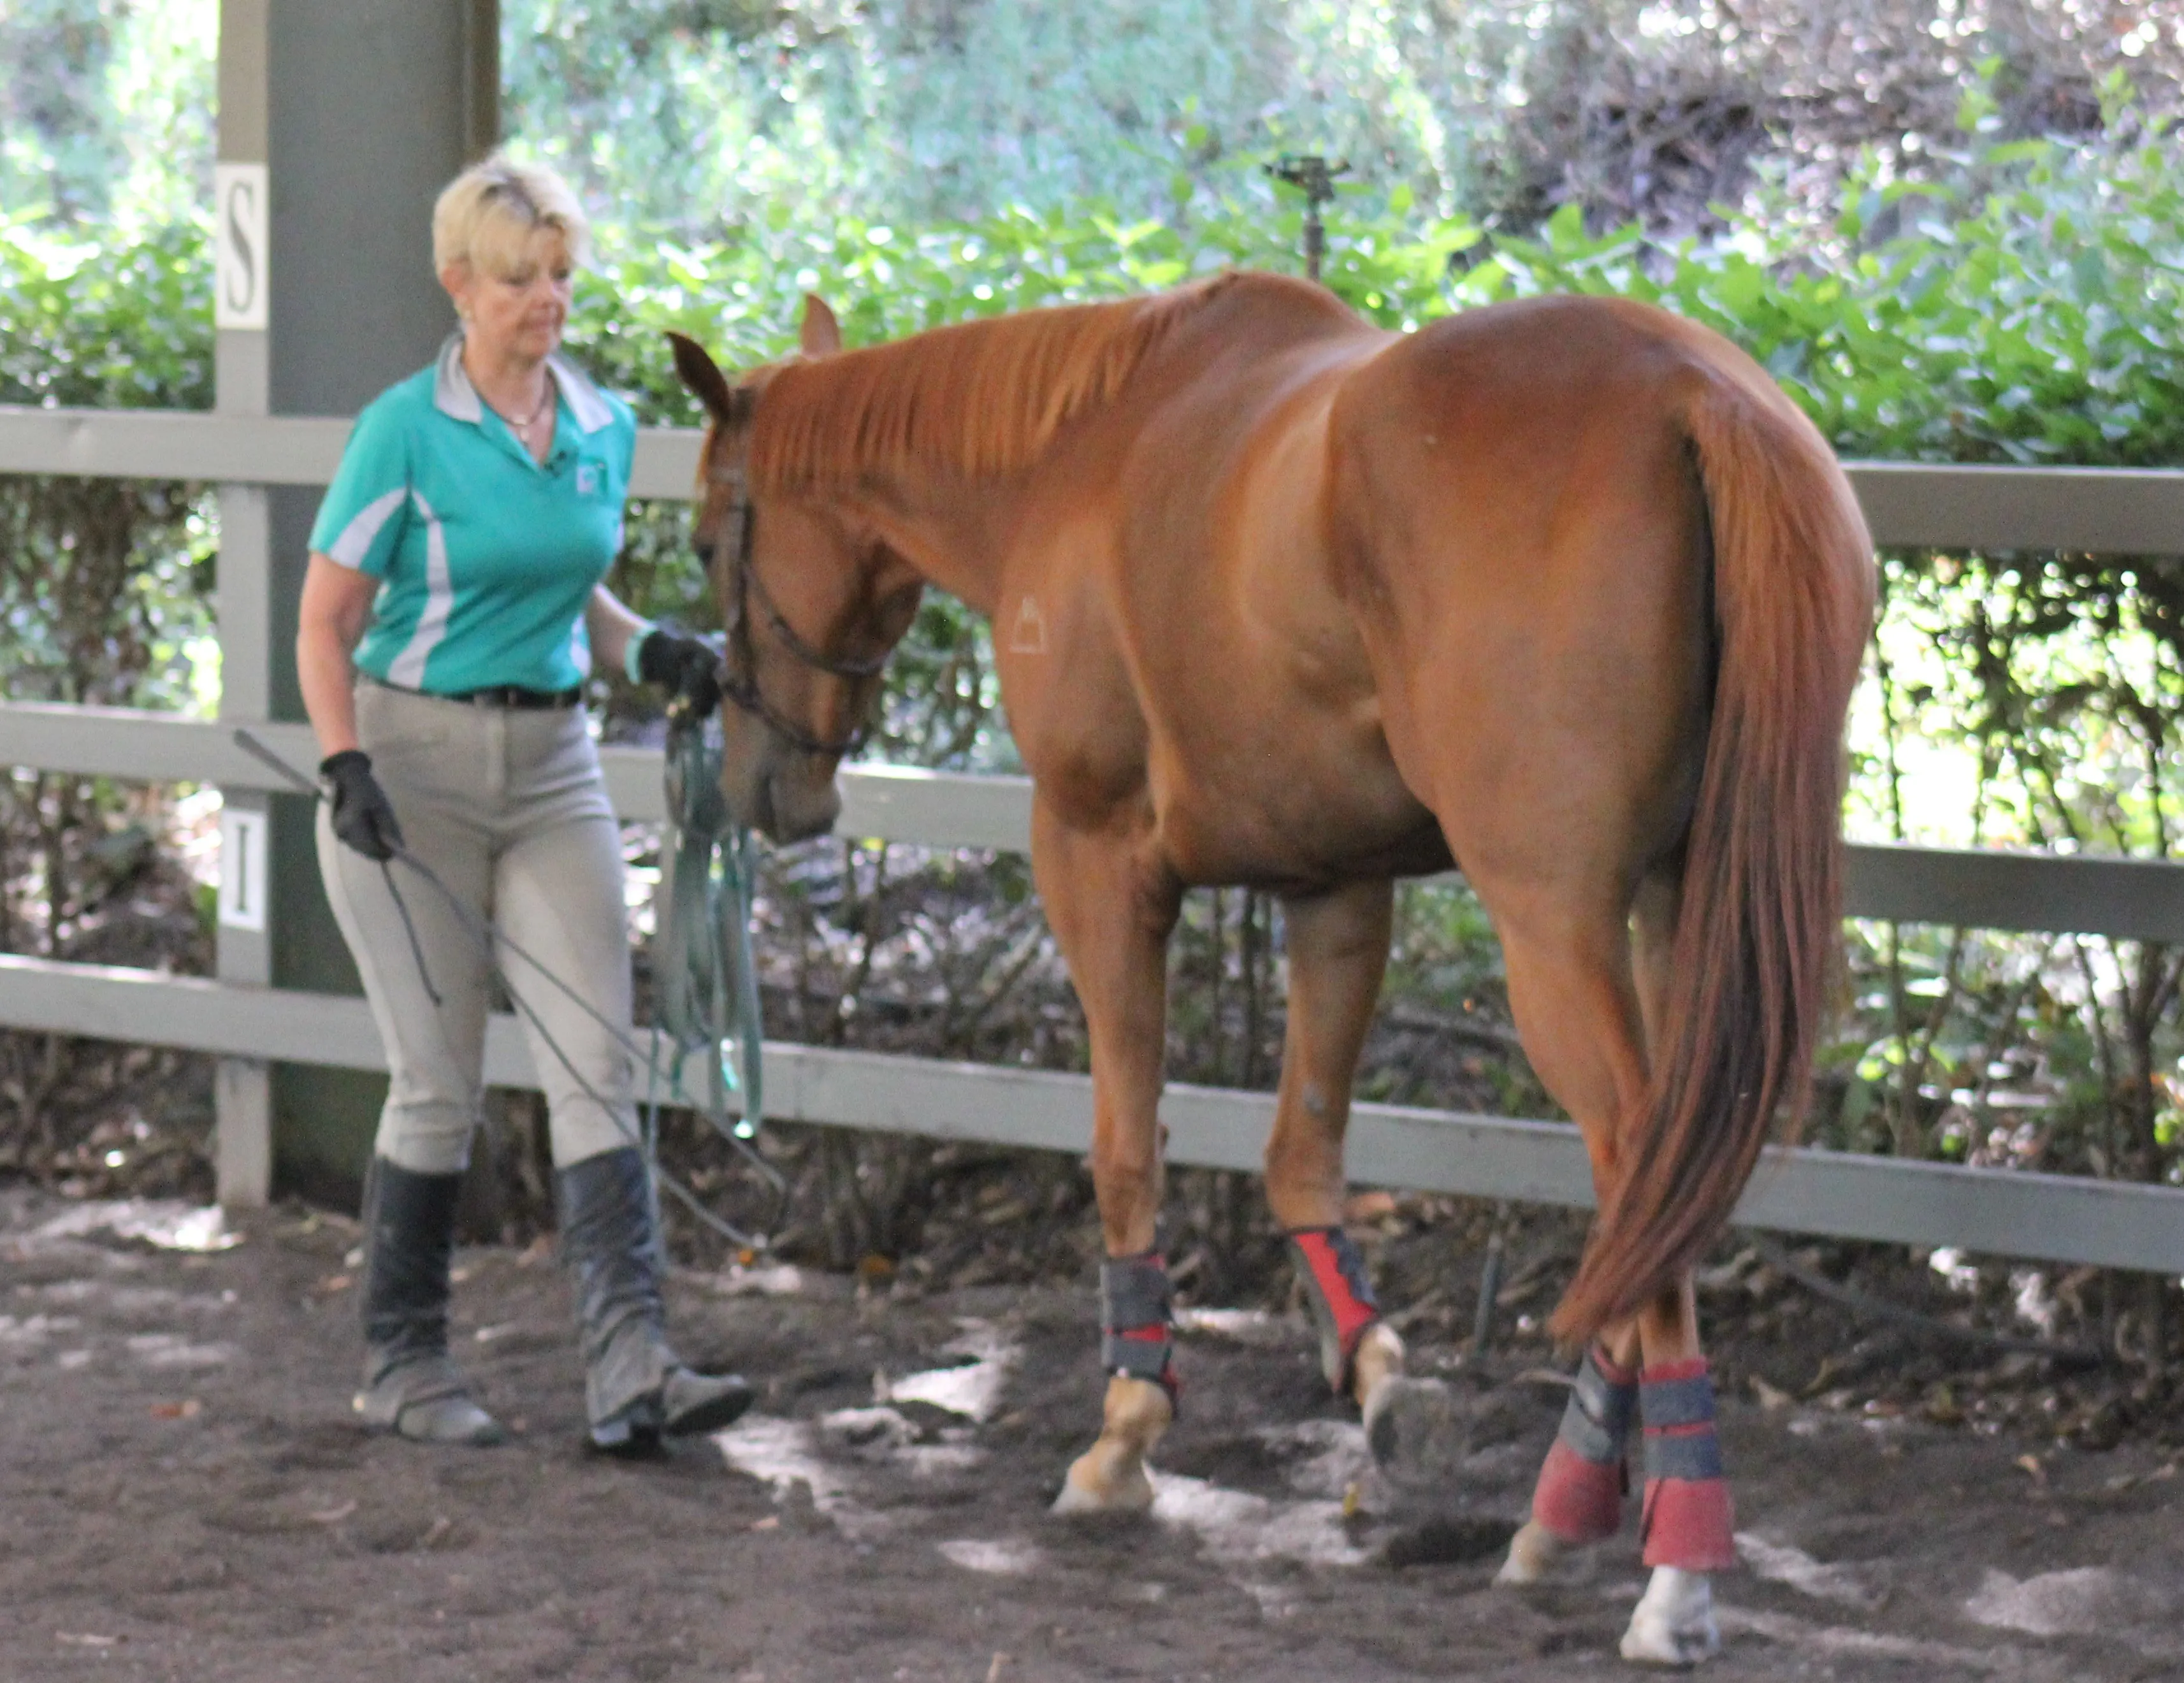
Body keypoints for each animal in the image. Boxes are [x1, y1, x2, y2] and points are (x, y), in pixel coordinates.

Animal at [668, 270, 1878, 1668]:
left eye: (705, 543)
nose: (764, 783)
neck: (1073, 454)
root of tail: (1697, 395)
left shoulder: (1093, 858)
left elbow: (1124, 1148)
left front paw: (1127, 1426)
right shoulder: (1333, 888)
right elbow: (1301, 1153)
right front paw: (1374, 1370)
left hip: (1554, 926)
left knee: (1640, 1165)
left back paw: (1674, 1566)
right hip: (1678, 910)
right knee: (1667, 1177)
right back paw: (1567, 1504)